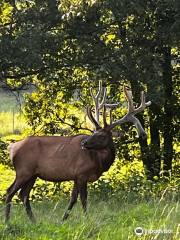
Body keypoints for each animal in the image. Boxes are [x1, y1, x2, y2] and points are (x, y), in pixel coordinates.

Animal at [4, 83, 151, 223]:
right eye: (94, 132)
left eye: (102, 135)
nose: (84, 143)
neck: (99, 162)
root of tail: (12, 147)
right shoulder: (81, 173)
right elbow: (83, 200)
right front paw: (86, 219)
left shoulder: (75, 176)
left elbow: (73, 199)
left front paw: (63, 219)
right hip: (23, 170)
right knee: (9, 192)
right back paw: (7, 222)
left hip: (33, 174)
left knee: (23, 194)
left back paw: (33, 221)